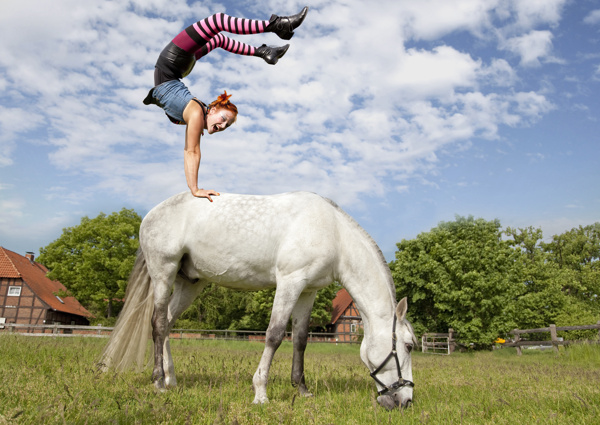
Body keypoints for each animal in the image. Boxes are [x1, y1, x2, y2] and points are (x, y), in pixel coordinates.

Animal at [99, 191, 418, 408]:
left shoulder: (307, 291)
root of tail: (151, 214)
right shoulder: (290, 282)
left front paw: (301, 389)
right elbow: (274, 335)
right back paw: (158, 383)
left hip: (189, 284)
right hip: (163, 274)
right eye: (409, 346)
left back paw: (171, 379)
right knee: (156, 324)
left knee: (166, 324)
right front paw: (261, 393)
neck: (333, 233)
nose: (406, 400)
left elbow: (300, 340)